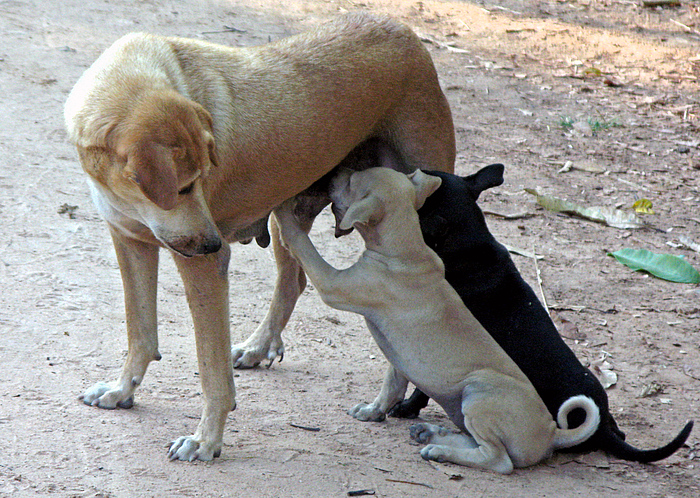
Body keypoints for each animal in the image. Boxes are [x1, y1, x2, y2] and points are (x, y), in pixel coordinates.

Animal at [64, 12, 454, 462]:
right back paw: (260, 347)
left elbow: (210, 368)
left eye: (199, 180)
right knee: (294, 279)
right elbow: (140, 333)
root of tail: (404, 32)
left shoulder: (200, 266)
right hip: (285, 216)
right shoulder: (131, 244)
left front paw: (206, 440)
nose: (216, 244)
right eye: (182, 188)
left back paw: (384, 402)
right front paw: (121, 390)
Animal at [274, 168, 600, 474]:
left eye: (352, 181)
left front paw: (282, 213)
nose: (334, 173)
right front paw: (373, 411)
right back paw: (432, 433)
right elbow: (391, 386)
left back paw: (441, 451)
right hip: (463, 407)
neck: (406, 247)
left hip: (477, 395)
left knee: (498, 460)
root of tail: (552, 432)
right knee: (476, 441)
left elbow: (301, 243)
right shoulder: (397, 358)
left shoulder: (331, 284)